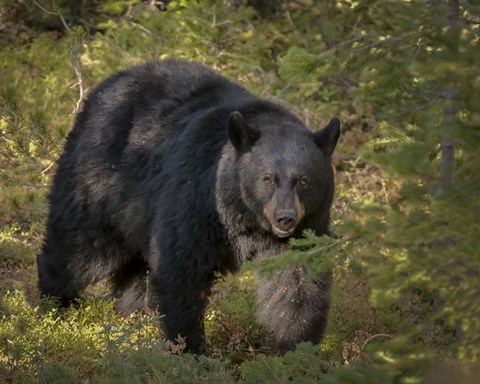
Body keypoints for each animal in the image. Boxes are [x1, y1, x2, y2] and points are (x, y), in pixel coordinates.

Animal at [37, 58, 340, 356]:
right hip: (99, 186)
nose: (285, 218)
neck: (243, 218)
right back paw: (53, 311)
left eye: (303, 181)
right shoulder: (195, 203)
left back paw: (132, 320)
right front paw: (190, 350)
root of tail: (105, 86)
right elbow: (181, 270)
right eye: (268, 179)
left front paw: (294, 349)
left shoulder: (306, 229)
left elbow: (297, 284)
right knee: (77, 251)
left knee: (135, 274)